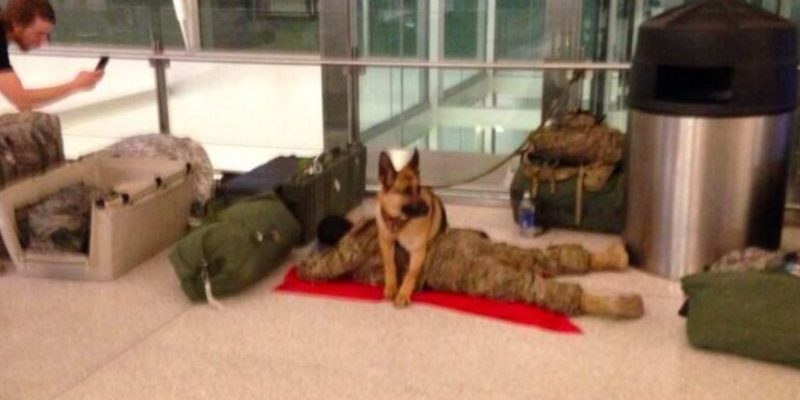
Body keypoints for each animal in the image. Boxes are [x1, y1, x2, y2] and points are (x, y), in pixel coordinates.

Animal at [378, 148, 446, 308]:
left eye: (418, 188)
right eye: (406, 191)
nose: (427, 209)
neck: (399, 223)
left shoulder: (418, 252)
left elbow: (410, 273)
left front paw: (403, 294)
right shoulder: (385, 242)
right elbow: (389, 263)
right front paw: (391, 286)